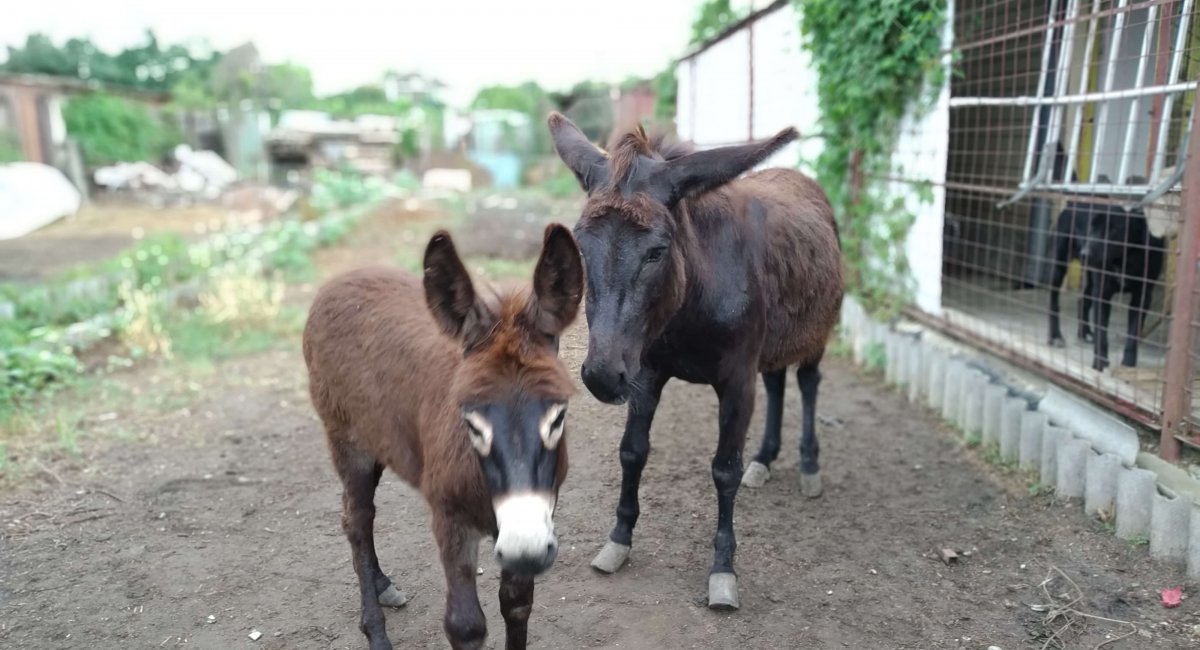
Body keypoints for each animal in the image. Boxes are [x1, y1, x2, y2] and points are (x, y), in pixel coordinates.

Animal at [304, 225, 585, 650]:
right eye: (470, 420)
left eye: (558, 416)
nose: (526, 549)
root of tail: (341, 279)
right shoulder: (450, 519)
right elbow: (465, 625)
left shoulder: (532, 520)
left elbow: (517, 605)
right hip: (345, 440)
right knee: (357, 519)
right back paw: (376, 631)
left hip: (378, 439)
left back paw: (382, 583)